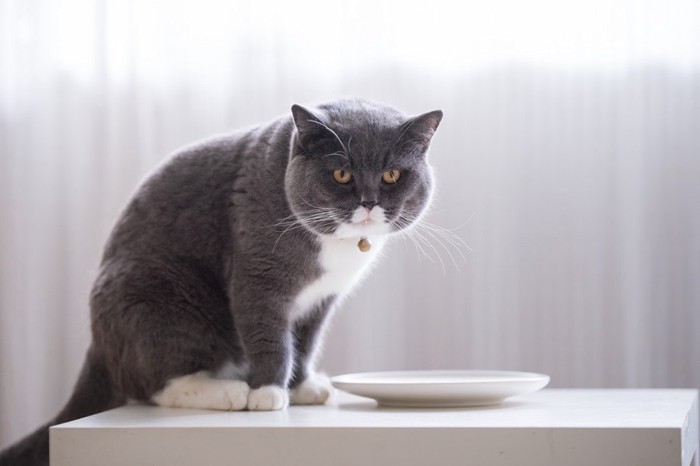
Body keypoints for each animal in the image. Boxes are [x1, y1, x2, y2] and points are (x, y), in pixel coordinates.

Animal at [0, 97, 442, 462]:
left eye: (391, 175)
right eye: (341, 174)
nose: (368, 203)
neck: (338, 246)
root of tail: (98, 345)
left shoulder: (321, 300)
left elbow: (305, 342)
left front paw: (300, 386)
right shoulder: (256, 276)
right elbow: (271, 339)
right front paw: (268, 393)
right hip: (154, 296)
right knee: (158, 381)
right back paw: (228, 391)